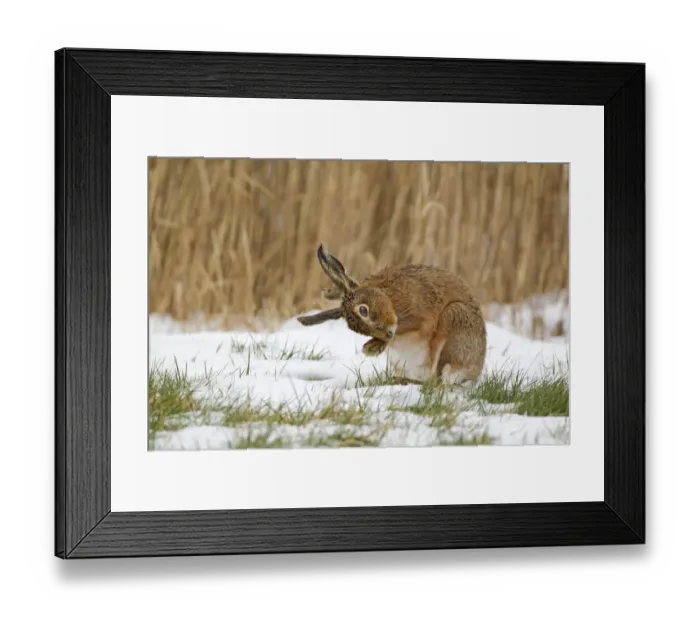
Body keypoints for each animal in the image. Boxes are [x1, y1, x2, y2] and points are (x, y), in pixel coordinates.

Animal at [297, 244, 487, 385]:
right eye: (356, 329)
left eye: (363, 310)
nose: (387, 333)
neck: (389, 298)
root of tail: (474, 371)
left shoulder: (422, 317)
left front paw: (372, 347)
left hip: (453, 319)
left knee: (435, 382)